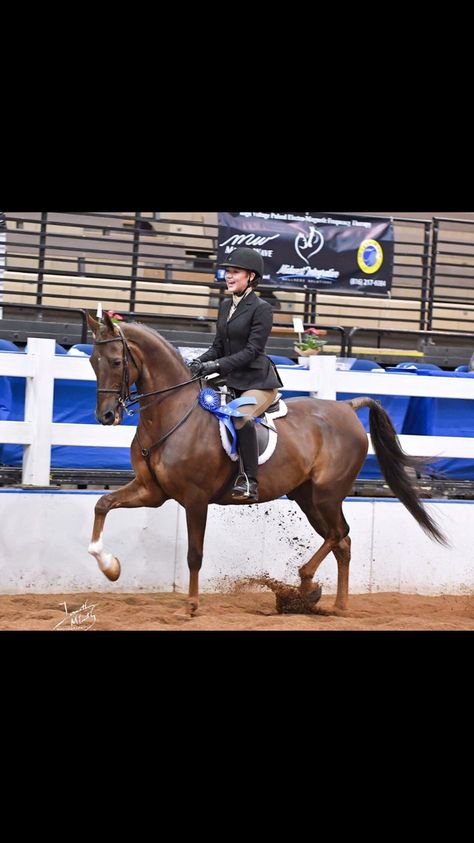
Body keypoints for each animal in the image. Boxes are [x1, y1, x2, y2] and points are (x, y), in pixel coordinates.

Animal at [87, 314, 446, 616]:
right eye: (93, 362)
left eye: (116, 361)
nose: (106, 416)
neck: (172, 414)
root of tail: (346, 406)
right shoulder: (151, 491)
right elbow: (102, 504)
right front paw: (109, 567)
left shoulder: (195, 499)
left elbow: (194, 554)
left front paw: (189, 606)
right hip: (306, 496)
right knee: (341, 542)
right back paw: (330, 602)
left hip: (327, 494)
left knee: (338, 534)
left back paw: (308, 585)